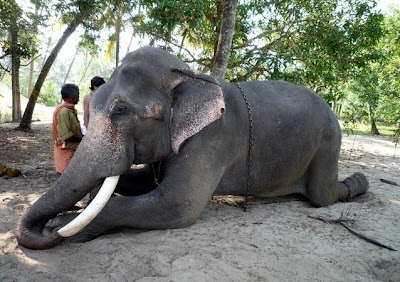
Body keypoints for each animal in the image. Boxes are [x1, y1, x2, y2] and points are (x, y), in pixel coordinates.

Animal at [15, 46, 368, 249]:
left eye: (121, 110)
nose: (44, 227)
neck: (190, 75)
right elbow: (145, 181)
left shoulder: (212, 137)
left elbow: (179, 203)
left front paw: (63, 224)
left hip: (328, 143)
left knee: (323, 197)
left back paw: (357, 184)